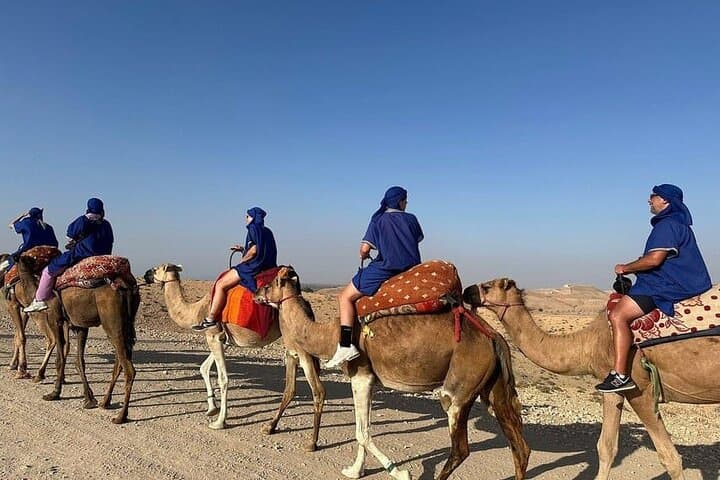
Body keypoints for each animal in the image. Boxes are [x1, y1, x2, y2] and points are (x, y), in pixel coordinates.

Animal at [0, 252, 66, 382]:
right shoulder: (25, 309)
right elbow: (17, 336)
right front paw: (13, 364)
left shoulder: (13, 305)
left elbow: (21, 337)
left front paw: (21, 369)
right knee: (65, 342)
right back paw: (61, 377)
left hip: (42, 318)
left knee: (52, 339)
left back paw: (40, 374)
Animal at [16, 255, 140, 424]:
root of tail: (127, 286)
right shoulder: (80, 325)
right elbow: (79, 361)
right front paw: (89, 399)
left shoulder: (55, 318)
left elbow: (60, 358)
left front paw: (54, 393)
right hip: (126, 325)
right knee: (120, 362)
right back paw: (105, 402)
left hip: (113, 323)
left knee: (129, 369)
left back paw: (121, 416)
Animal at [143, 263, 325, 451]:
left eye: (156, 269)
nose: (145, 274)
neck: (198, 310)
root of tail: (304, 303)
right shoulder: (222, 339)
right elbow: (204, 368)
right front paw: (212, 408)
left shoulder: (213, 334)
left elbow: (223, 378)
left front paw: (219, 422)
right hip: (291, 345)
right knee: (291, 387)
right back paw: (270, 427)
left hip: (299, 344)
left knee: (316, 389)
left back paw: (311, 442)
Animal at [255, 266, 530, 480]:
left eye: (268, 284)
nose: (256, 295)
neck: (329, 334)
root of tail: (494, 336)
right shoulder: (368, 380)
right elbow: (361, 431)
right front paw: (355, 470)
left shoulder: (361, 374)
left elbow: (362, 432)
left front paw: (400, 472)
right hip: (493, 387)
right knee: (519, 444)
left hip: (461, 386)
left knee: (461, 447)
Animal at [463, 278, 720, 480]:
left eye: (486, 286)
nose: (466, 291)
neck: (590, 342)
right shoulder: (614, 386)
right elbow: (606, 447)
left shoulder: (641, 389)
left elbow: (670, 458)